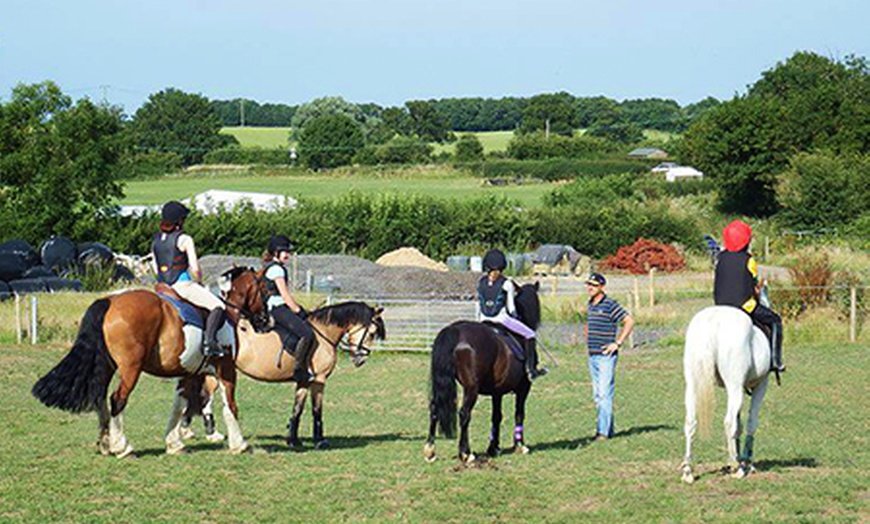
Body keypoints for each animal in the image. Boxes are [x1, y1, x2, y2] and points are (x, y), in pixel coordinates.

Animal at [31, 288, 249, 456]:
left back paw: (105, 443)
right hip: (131, 369)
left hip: (108, 366)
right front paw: (239, 444)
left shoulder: (189, 373)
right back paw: (122, 447)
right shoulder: (227, 370)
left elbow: (179, 406)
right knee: (117, 399)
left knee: (101, 398)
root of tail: (111, 300)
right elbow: (231, 405)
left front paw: (174, 443)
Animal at [216, 268, 386, 448]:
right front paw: (320, 440)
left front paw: (293, 440)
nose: (361, 360)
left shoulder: (304, 381)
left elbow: (297, 409)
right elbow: (317, 409)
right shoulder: (319, 379)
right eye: (372, 333)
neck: (323, 333)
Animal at [426, 282, 540, 462]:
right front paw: (520, 445)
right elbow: (519, 414)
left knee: (434, 409)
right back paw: (466, 453)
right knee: (464, 414)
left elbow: (496, 416)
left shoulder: (497, 391)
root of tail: (454, 330)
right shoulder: (524, 388)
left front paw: (494, 448)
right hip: (471, 388)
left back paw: (430, 450)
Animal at [680, 302, 776, 484]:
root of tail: (713, 321)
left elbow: (739, 426)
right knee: (729, 422)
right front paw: (746, 462)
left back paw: (688, 471)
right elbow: (750, 422)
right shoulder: (761, 385)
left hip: (693, 385)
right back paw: (737, 466)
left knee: (690, 422)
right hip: (735, 387)